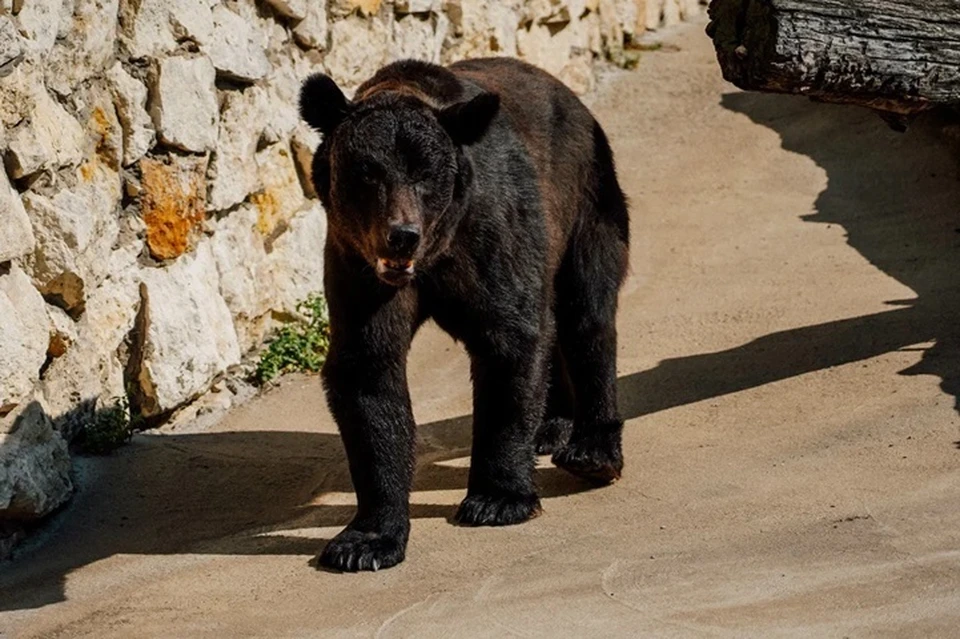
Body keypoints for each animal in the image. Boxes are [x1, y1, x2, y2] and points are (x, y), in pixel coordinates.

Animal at [300, 57, 632, 572]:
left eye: (425, 173)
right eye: (368, 172)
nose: (402, 234)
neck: (435, 255)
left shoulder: (491, 237)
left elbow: (510, 343)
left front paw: (498, 499)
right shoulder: (358, 270)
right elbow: (368, 374)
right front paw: (364, 541)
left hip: (585, 196)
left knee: (586, 310)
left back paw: (592, 451)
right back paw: (551, 426)